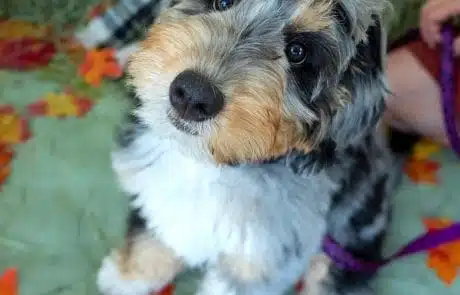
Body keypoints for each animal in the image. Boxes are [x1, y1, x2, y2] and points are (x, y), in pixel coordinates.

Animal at [96, 0, 392, 295]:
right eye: (223, 2)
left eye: (298, 52)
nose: (192, 95)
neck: (213, 163)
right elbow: (154, 241)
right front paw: (128, 275)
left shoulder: (262, 262)